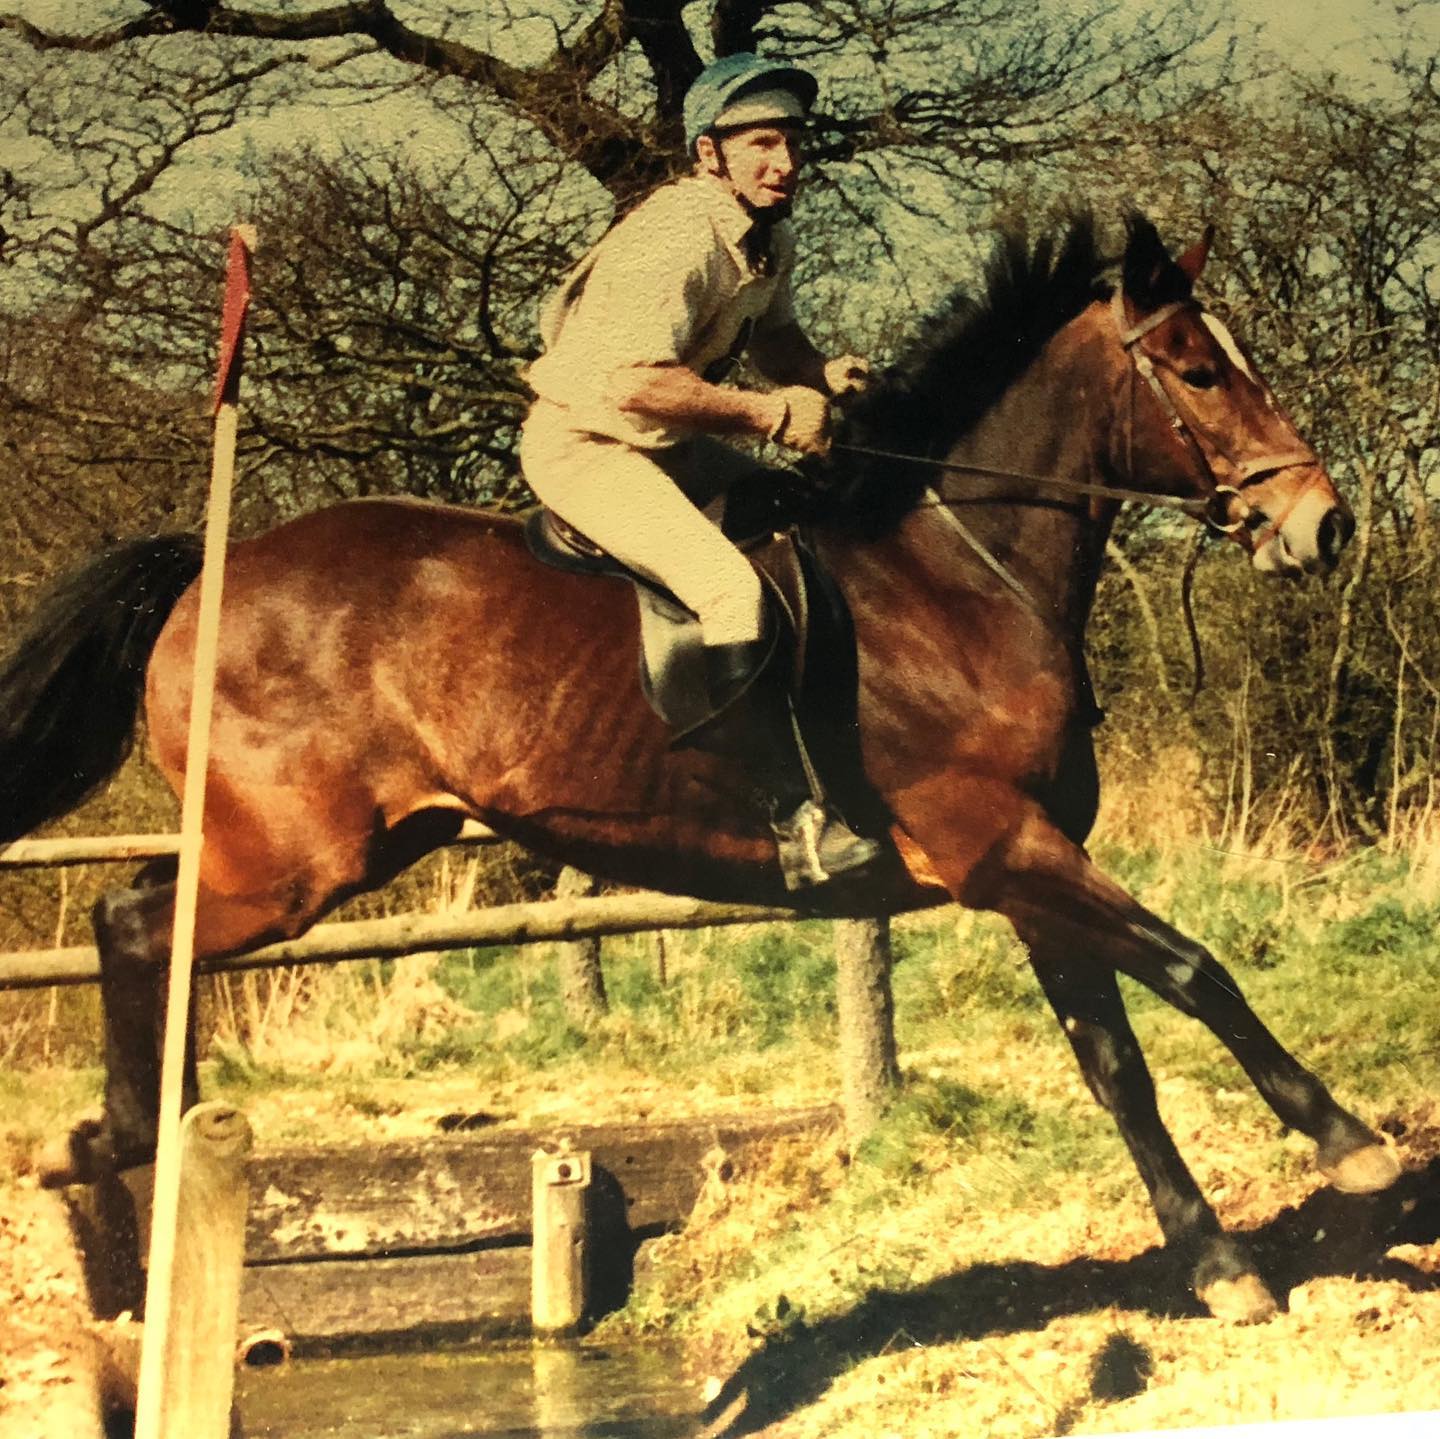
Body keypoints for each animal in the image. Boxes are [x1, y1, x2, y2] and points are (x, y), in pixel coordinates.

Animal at [0, 214, 1399, 1324]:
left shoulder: (1031, 865)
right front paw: (1353, 1146)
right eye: (1199, 370)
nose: (1323, 523)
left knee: (154, 927)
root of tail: (207, 571)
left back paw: (158, 1135)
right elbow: (1195, 968)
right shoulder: (1001, 844)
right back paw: (115, 1134)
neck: (960, 573)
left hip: (358, 843)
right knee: (131, 917)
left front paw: (1218, 1261)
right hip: (294, 858)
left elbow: (1117, 1060)